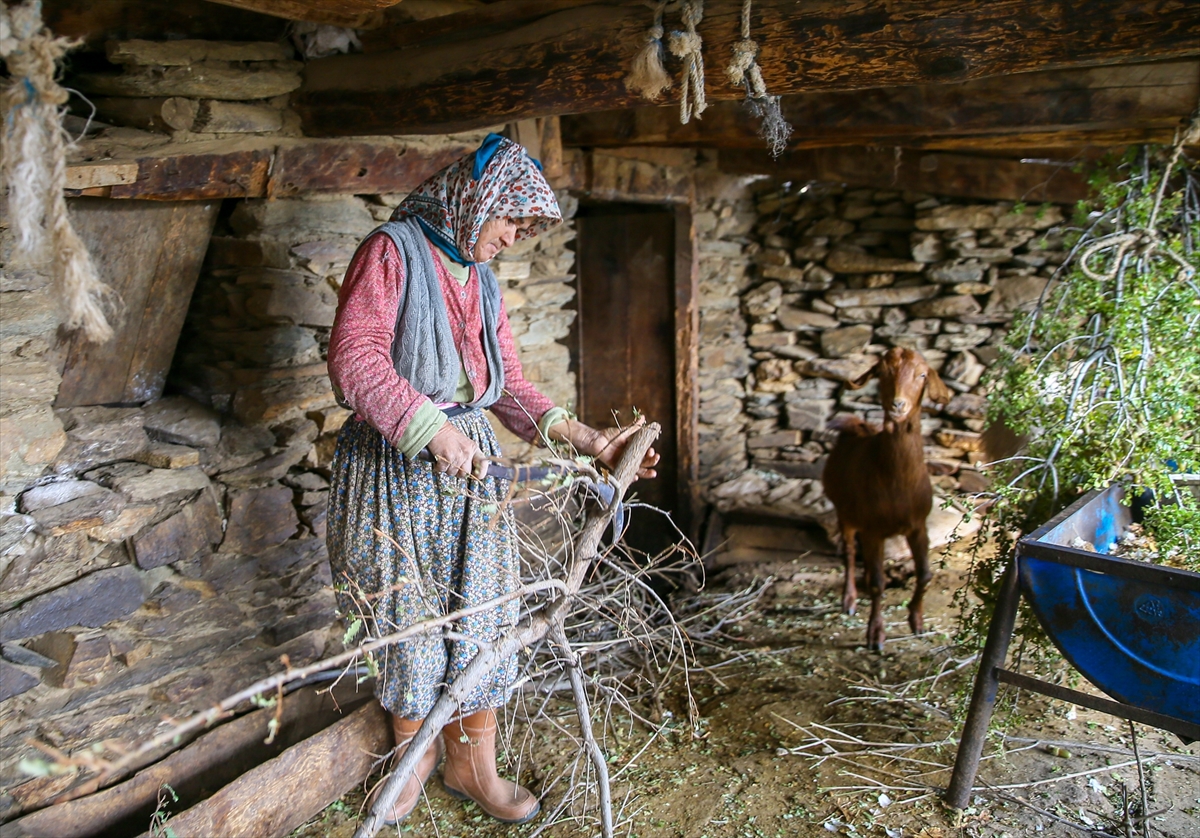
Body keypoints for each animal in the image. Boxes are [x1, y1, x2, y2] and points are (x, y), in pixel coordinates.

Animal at [820, 343, 950, 648]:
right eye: (881, 372)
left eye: (922, 374)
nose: (898, 405)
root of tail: (854, 426)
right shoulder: (873, 530)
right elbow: (878, 584)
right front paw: (876, 634)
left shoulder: (918, 526)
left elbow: (925, 574)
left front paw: (916, 620)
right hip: (844, 513)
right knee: (850, 554)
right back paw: (850, 599)